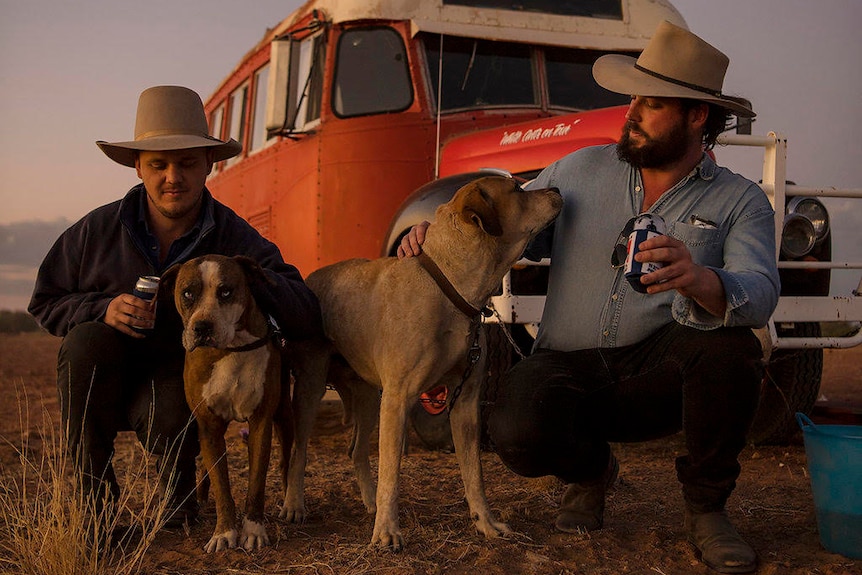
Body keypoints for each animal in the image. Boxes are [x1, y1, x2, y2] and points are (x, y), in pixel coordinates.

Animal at [162, 255, 294, 552]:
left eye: (225, 291)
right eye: (187, 293)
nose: (202, 327)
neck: (230, 348)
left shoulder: (261, 423)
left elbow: (256, 482)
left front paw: (253, 531)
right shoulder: (208, 426)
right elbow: (221, 484)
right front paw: (223, 533)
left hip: (284, 417)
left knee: (286, 460)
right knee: (205, 466)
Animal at [286, 176, 568, 548]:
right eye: (518, 191)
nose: (558, 190)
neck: (450, 287)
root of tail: (308, 279)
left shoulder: (466, 402)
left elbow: (474, 474)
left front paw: (485, 522)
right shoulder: (397, 399)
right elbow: (391, 473)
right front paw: (387, 531)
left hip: (366, 394)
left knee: (357, 451)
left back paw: (369, 501)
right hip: (310, 386)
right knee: (299, 450)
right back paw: (295, 504)